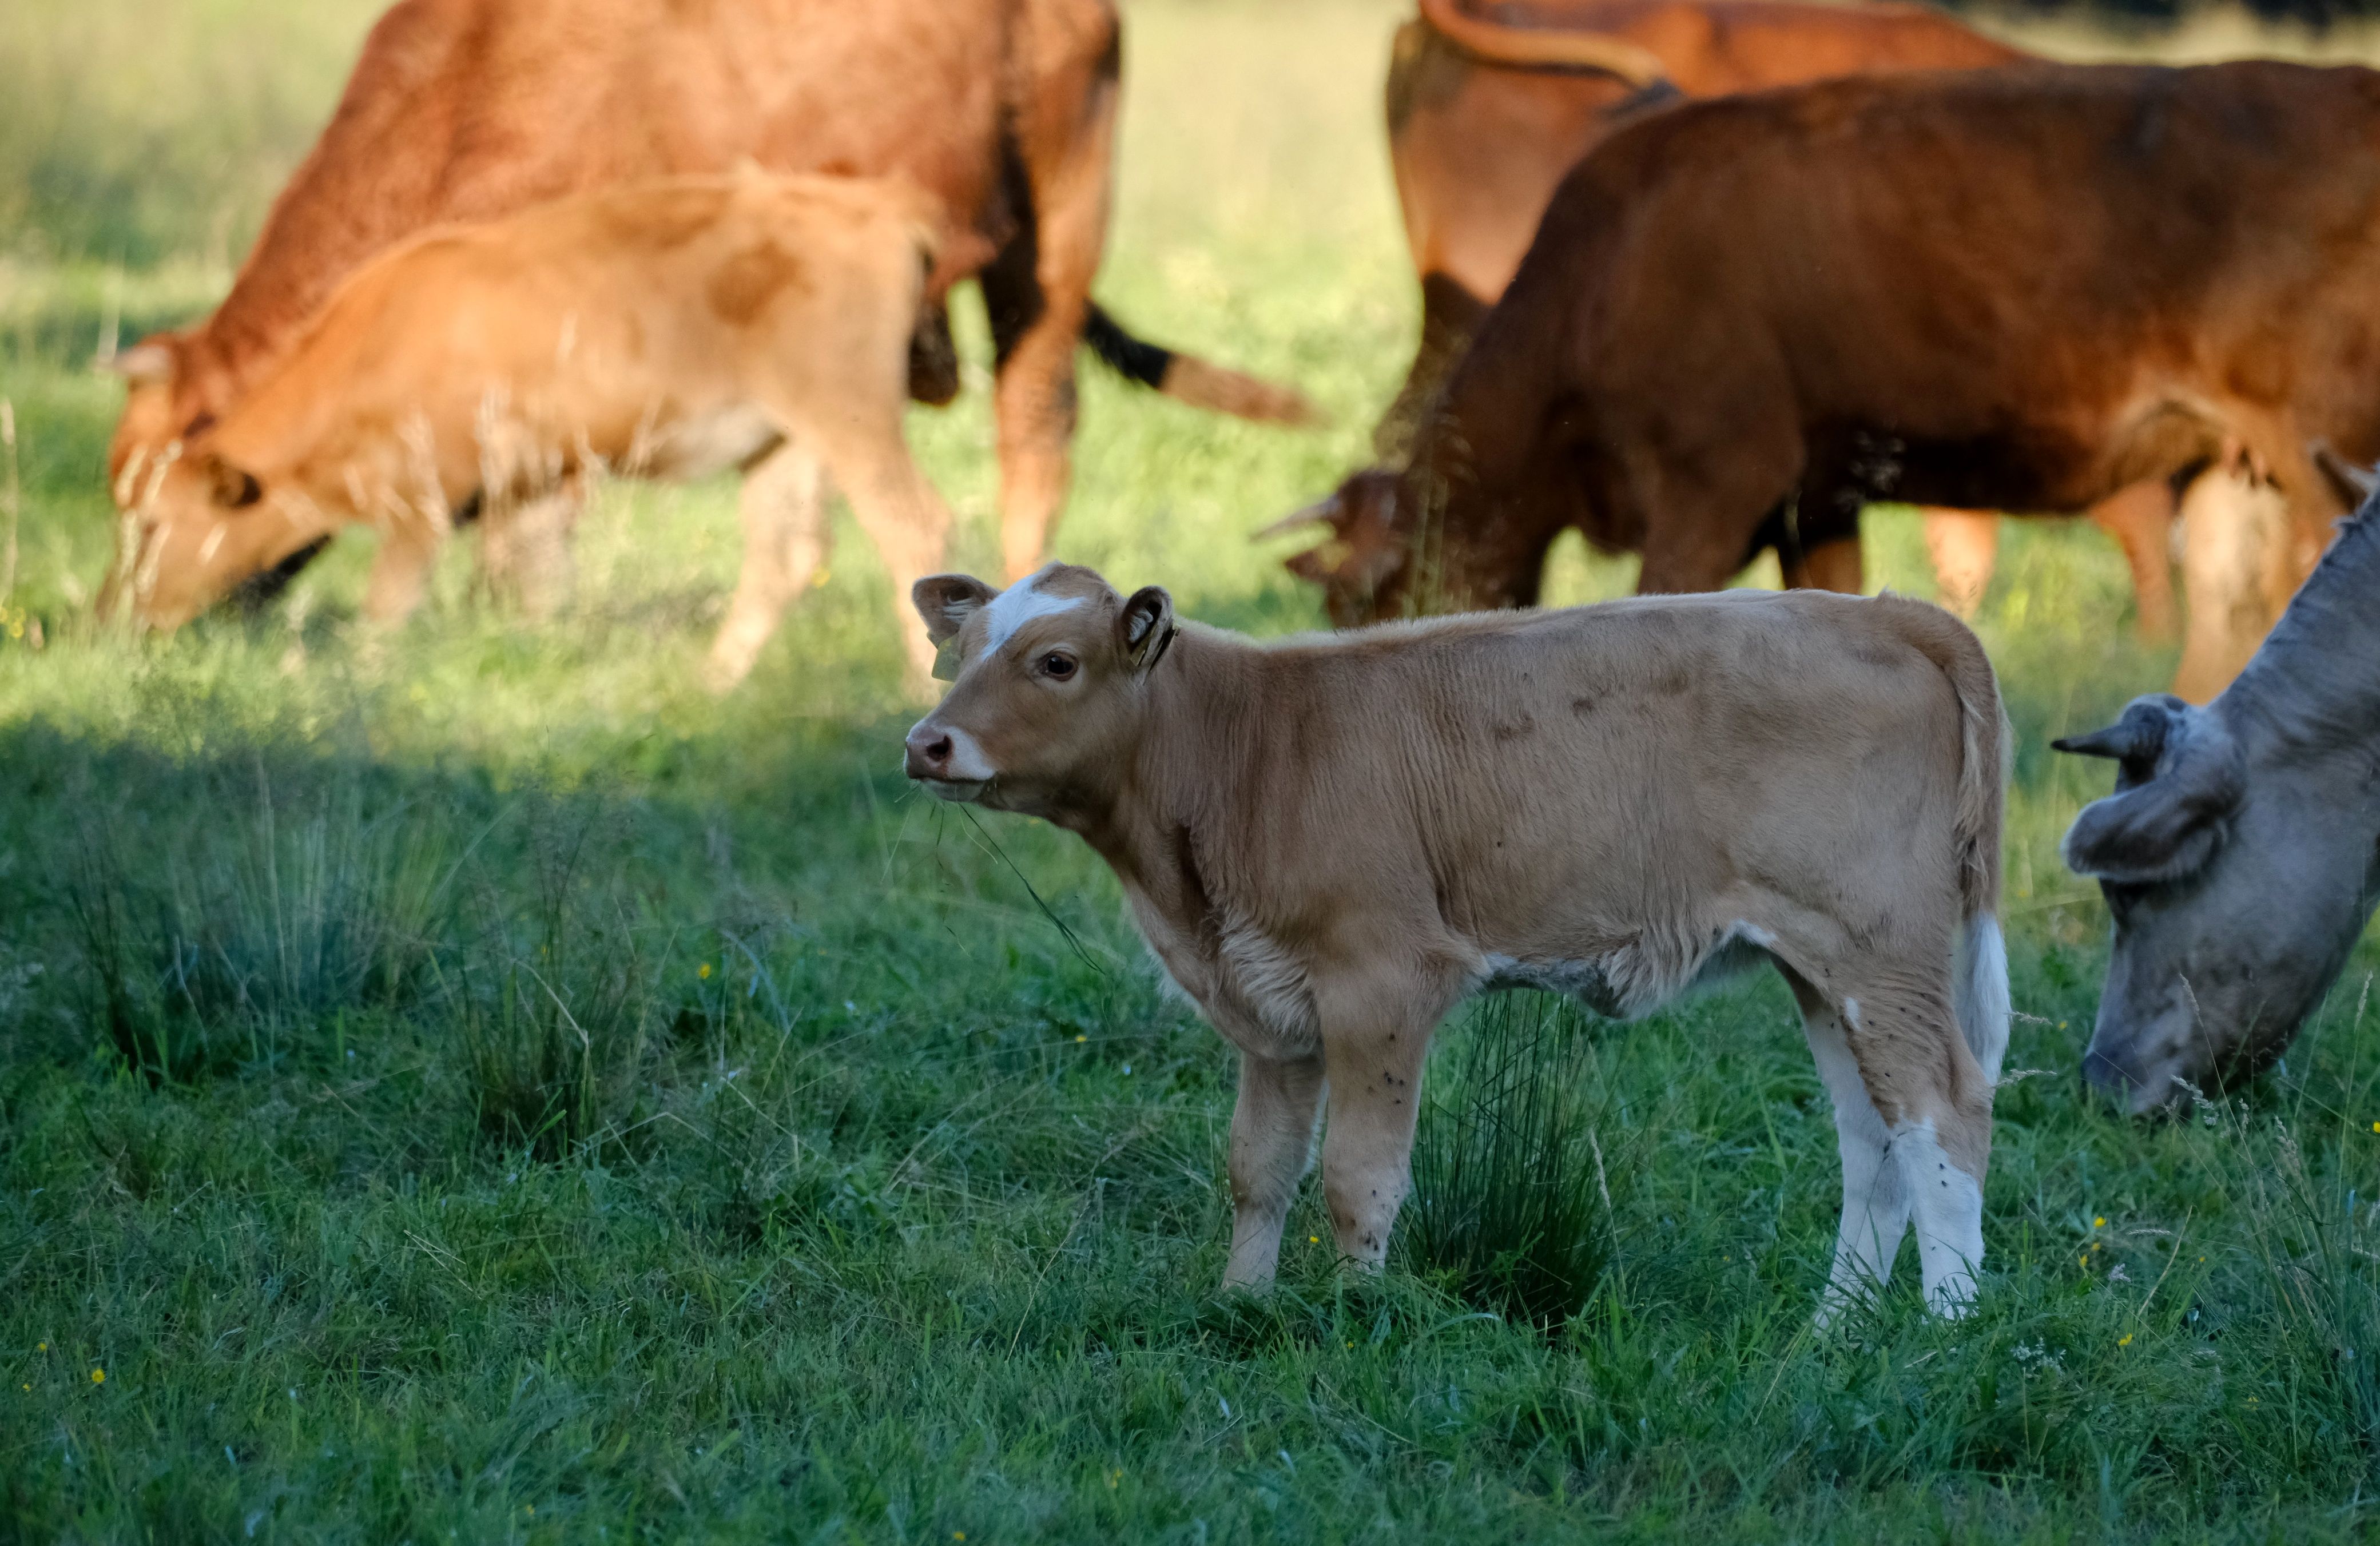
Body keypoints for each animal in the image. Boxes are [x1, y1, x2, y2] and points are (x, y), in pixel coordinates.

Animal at [105, 173, 953, 693]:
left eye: (153, 524)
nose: (119, 619)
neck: (380, 341)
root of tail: (882, 212)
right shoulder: (531, 484)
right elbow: (531, 577)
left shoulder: (422, 503)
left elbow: (389, 603)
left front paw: (367, 680)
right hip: (783, 442)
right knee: (785, 552)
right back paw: (709, 685)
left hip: (851, 421)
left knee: (913, 525)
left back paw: (917, 684)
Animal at [902, 562, 2010, 1318]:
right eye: (959, 654)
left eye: (1056, 661)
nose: (925, 741)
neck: (1246, 749)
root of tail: (1876, 607)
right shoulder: (1269, 1008)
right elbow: (1258, 1167)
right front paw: (1241, 1305)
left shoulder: (1383, 983)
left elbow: (1358, 1177)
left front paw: (1350, 1313)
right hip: (1821, 964)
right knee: (1874, 1135)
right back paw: (1833, 1330)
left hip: (1878, 949)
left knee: (1944, 1111)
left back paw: (1943, 1330)